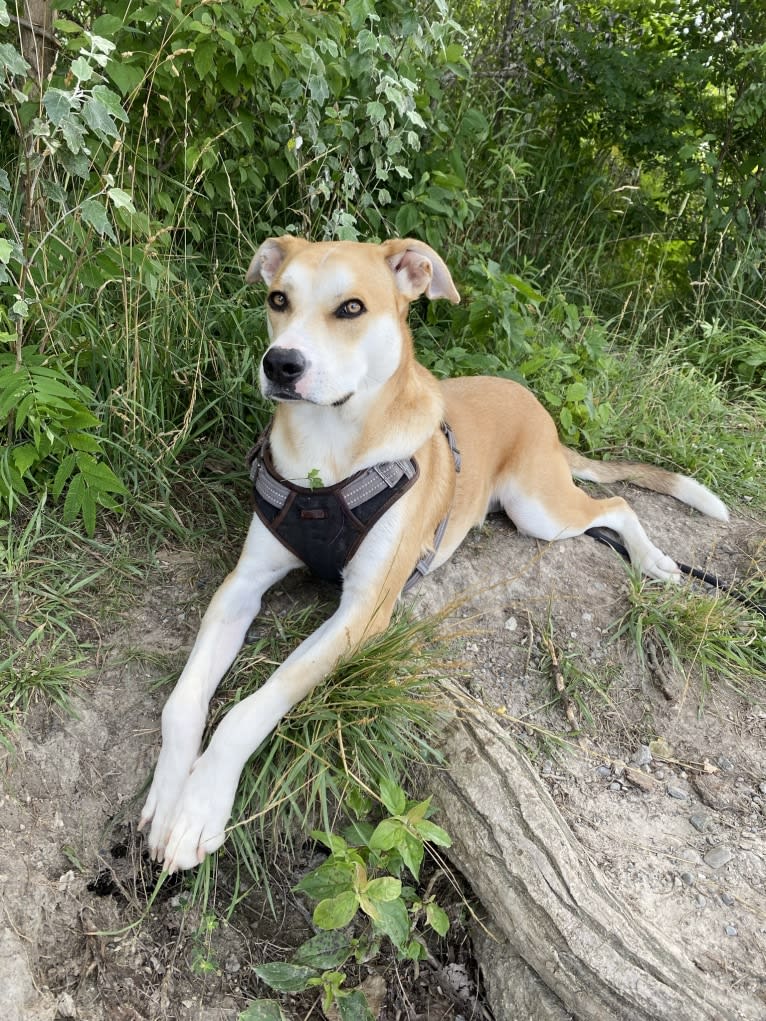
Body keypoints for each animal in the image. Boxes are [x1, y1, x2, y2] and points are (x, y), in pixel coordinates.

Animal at [139, 236, 731, 869]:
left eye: (351, 308)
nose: (280, 364)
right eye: (278, 299)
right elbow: (182, 702)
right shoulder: (241, 587)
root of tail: (533, 402)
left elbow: (251, 708)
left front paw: (199, 809)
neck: (327, 458)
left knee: (616, 503)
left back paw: (654, 560)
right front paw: (169, 794)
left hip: (539, 510)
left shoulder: (363, 613)